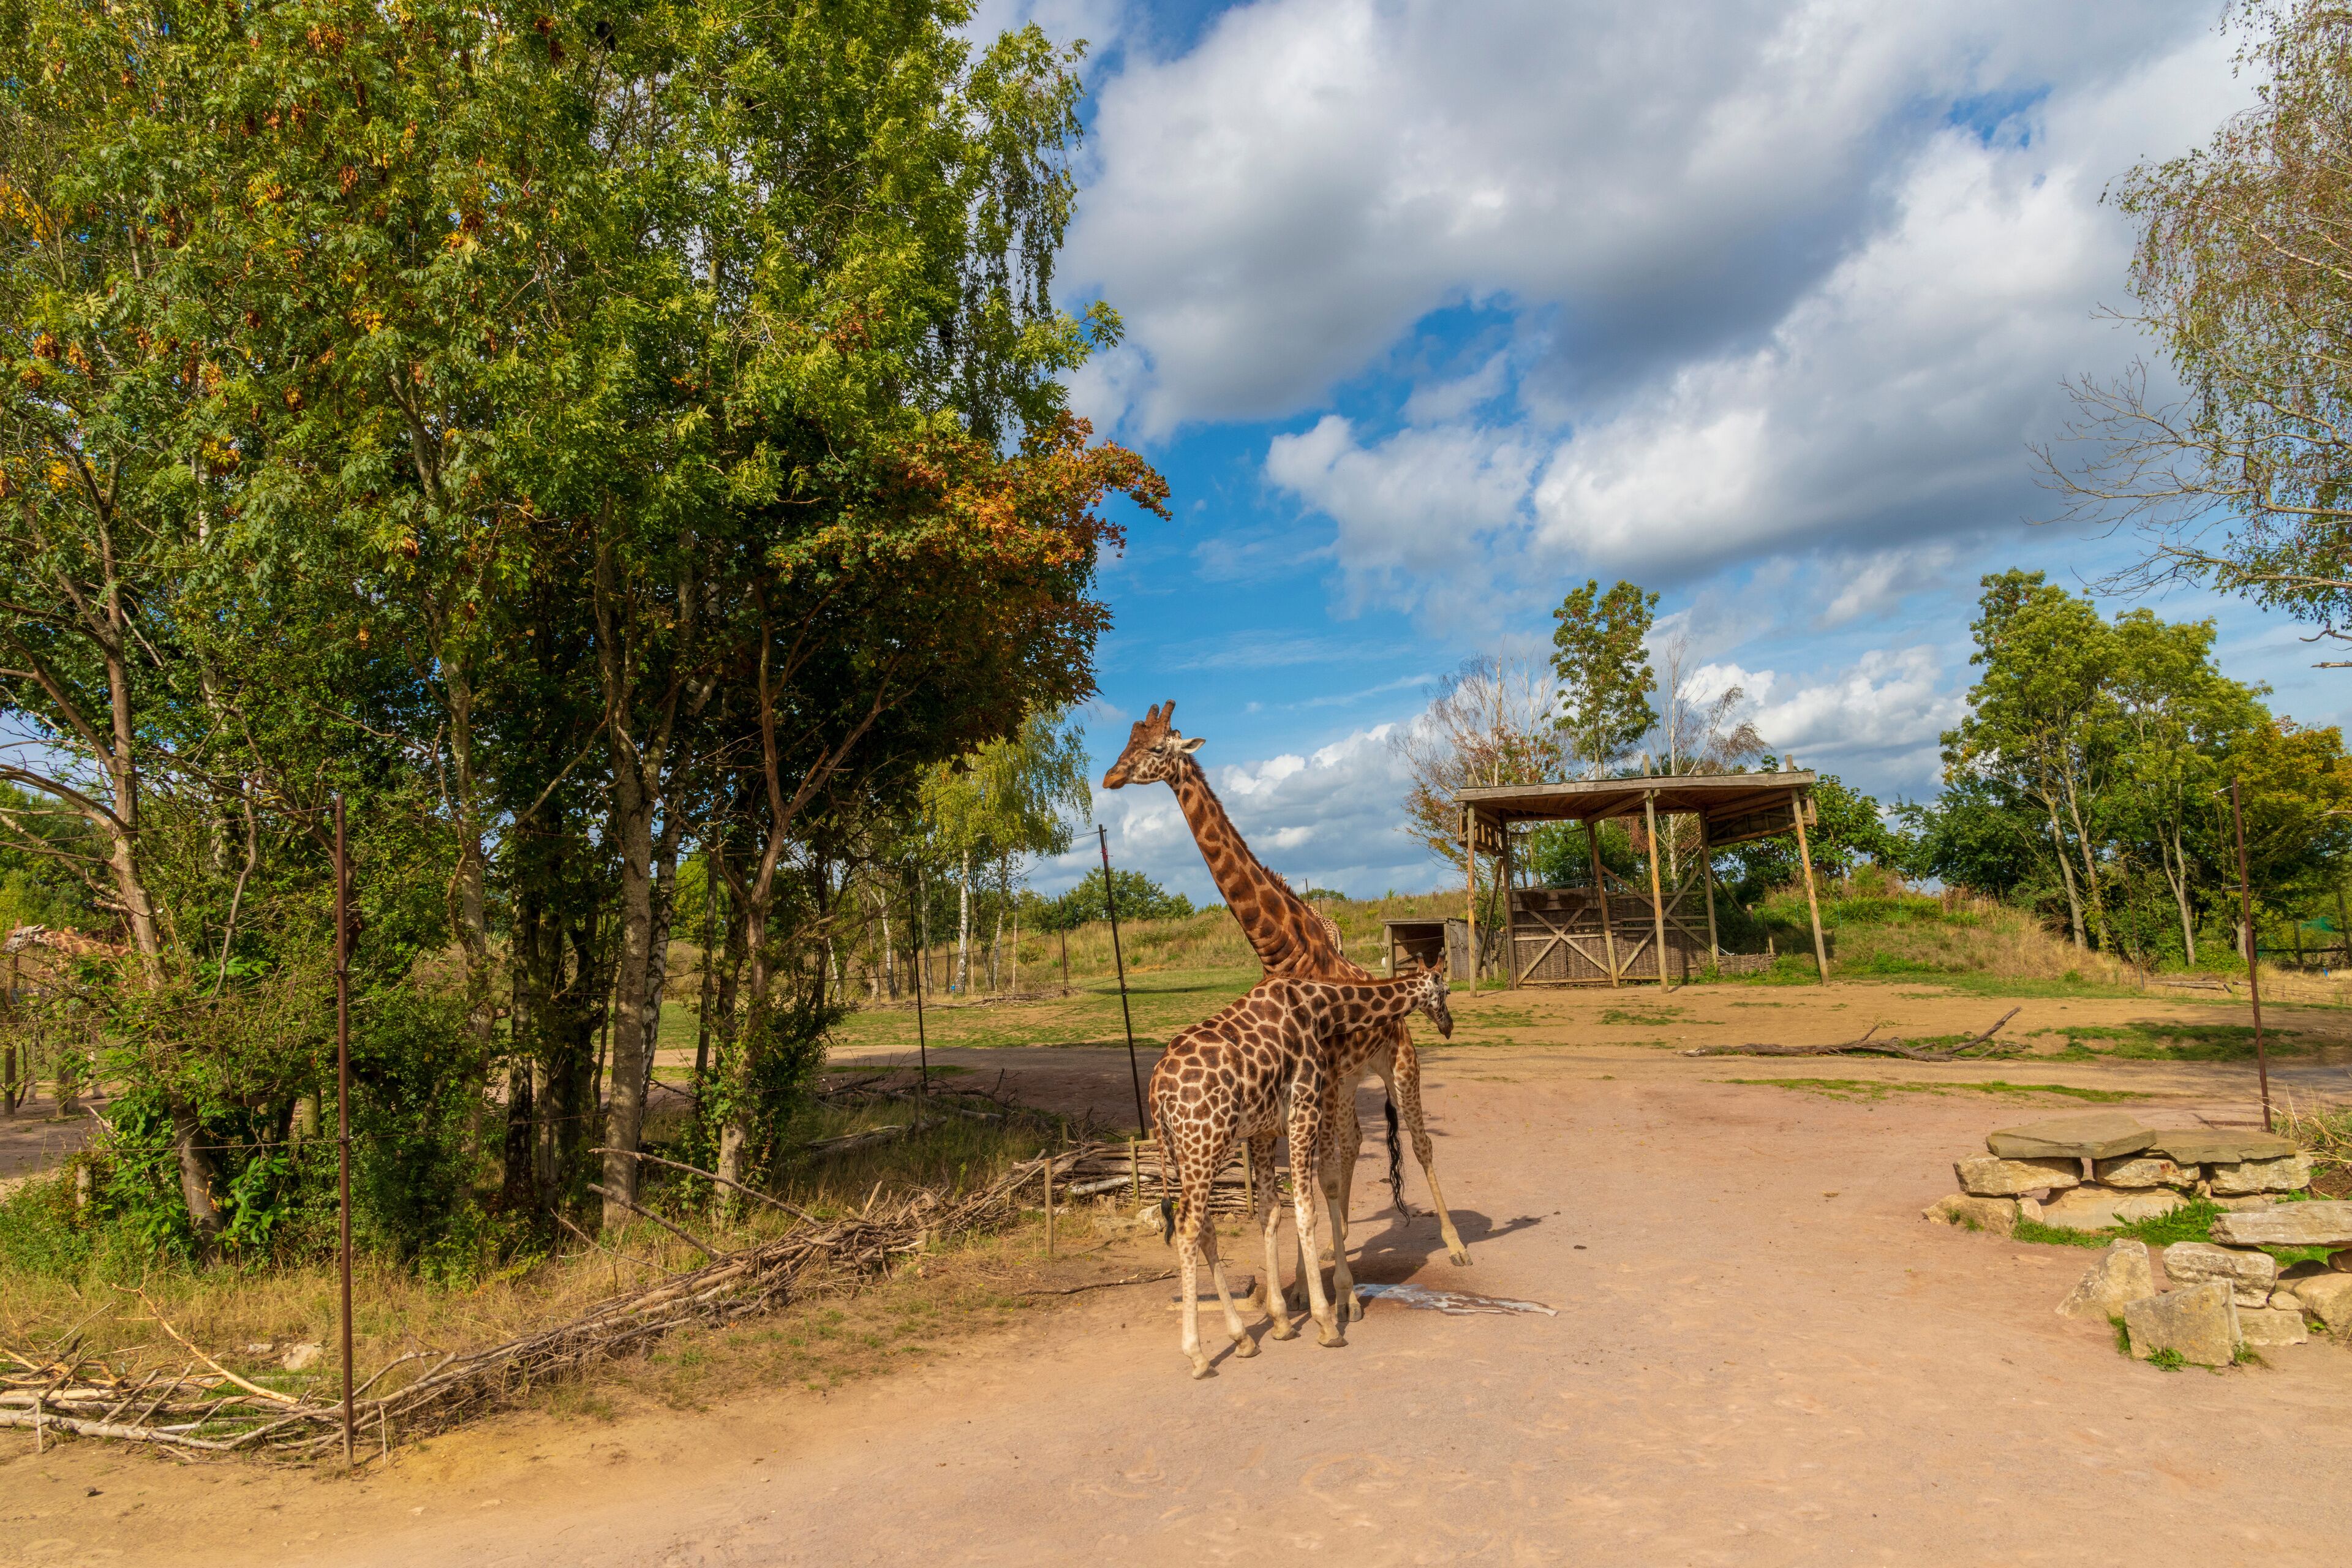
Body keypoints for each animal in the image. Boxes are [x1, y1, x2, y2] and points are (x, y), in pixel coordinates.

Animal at [1103, 702, 1472, 1315]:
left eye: (1156, 749)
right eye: (1126, 744)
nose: (1110, 778)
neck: (1283, 948)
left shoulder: (1319, 1082)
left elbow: (1320, 1179)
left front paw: (1327, 1290)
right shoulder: (1304, 1087)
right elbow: (1302, 1185)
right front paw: (1303, 1287)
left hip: (1399, 1066)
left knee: (1417, 1144)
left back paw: (1458, 1246)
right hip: (1350, 1082)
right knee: (1355, 1146)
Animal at [1151, 964, 1454, 1379]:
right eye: (1447, 991)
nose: (1448, 1025)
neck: (1320, 1008)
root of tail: (1158, 1095)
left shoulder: (1263, 1130)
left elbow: (1272, 1211)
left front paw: (1281, 1321)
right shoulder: (1305, 1108)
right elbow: (1306, 1210)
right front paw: (1326, 1323)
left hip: (1186, 1152)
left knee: (1206, 1230)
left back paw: (1243, 1340)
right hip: (1206, 1144)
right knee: (1188, 1228)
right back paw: (1197, 1356)